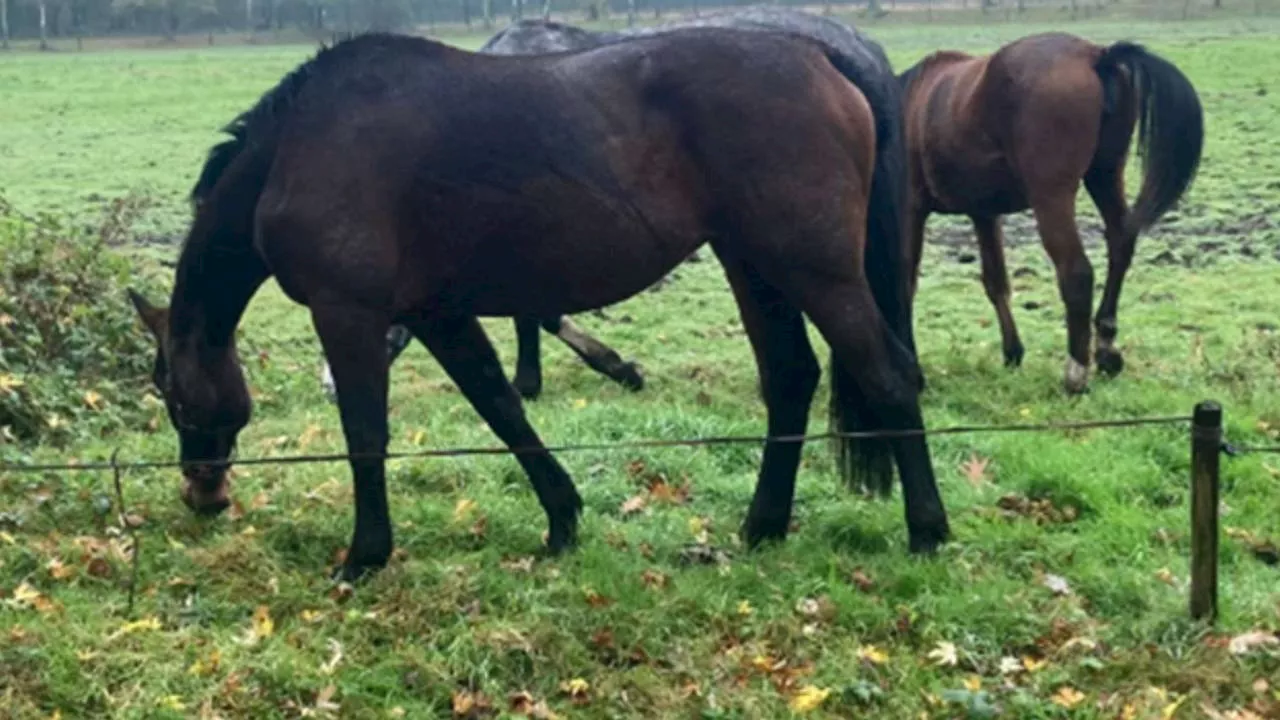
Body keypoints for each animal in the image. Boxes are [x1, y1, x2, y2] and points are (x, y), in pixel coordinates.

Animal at [901, 32, 1198, 392]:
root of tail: (1095, 55)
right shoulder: (984, 214)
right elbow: (995, 281)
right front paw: (1012, 352)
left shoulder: (912, 209)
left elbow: (906, 281)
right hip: (1105, 176)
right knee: (1121, 244)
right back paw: (1105, 348)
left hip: (1052, 198)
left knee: (1077, 272)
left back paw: (1076, 372)